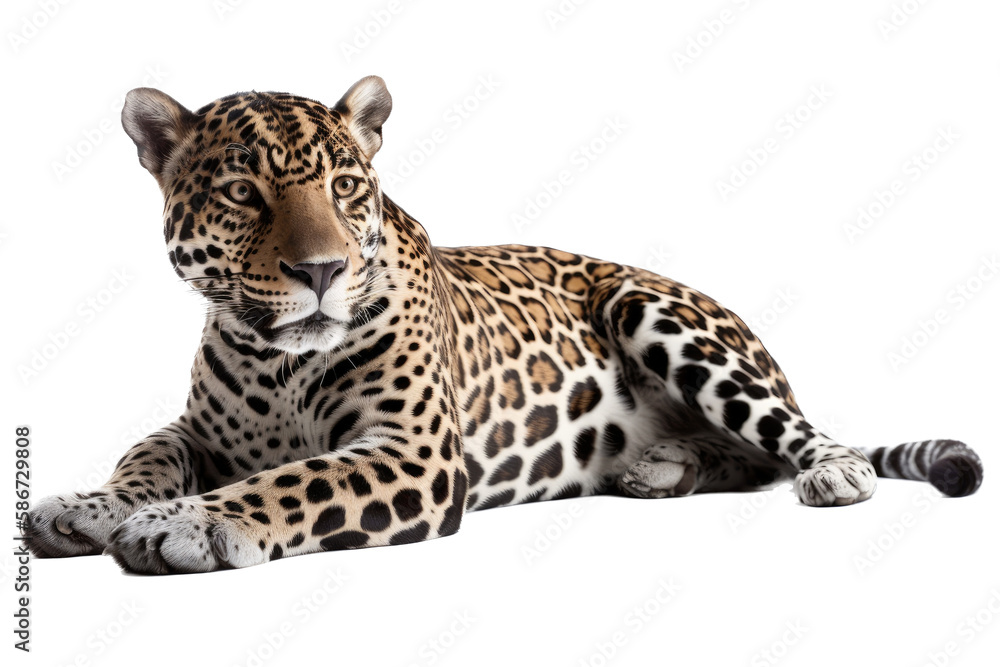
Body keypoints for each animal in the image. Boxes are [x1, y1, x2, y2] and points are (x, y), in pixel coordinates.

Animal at [24, 76, 984, 574]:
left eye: (345, 186)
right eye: (242, 192)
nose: (322, 271)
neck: (277, 360)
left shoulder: (414, 452)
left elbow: (289, 481)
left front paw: (182, 523)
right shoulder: (198, 430)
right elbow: (145, 455)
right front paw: (87, 506)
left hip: (658, 313)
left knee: (788, 437)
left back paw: (830, 471)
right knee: (743, 457)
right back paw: (658, 466)